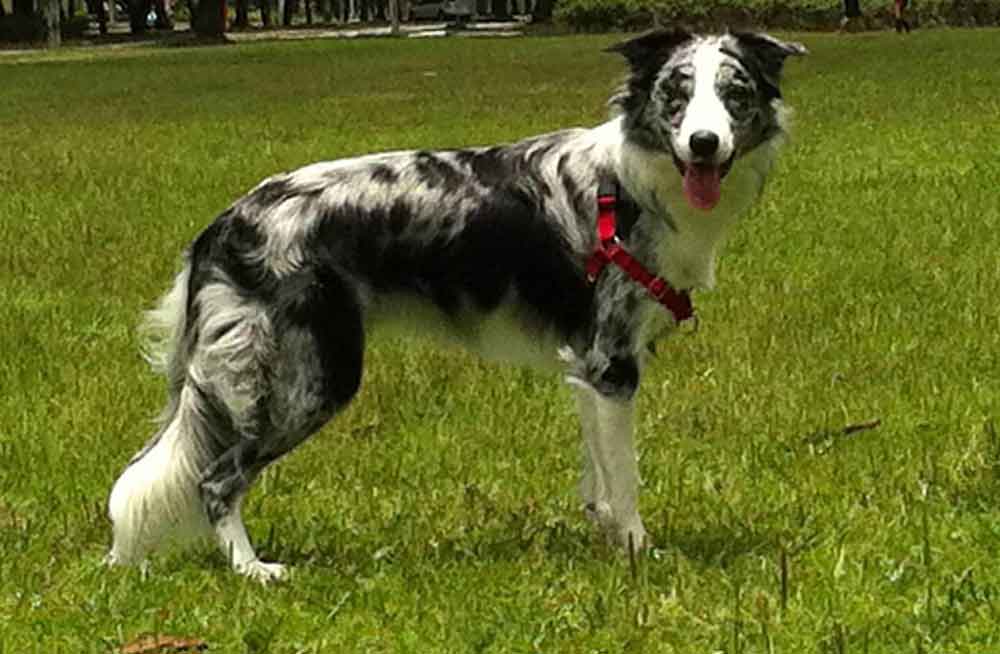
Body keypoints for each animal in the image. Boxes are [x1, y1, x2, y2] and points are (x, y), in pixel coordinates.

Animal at [105, 29, 804, 584]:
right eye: (675, 95)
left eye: (735, 93)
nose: (705, 143)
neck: (634, 181)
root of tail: (225, 222)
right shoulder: (613, 364)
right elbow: (626, 477)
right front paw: (637, 552)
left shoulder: (591, 364)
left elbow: (599, 477)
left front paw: (607, 538)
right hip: (310, 378)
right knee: (217, 478)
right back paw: (253, 570)